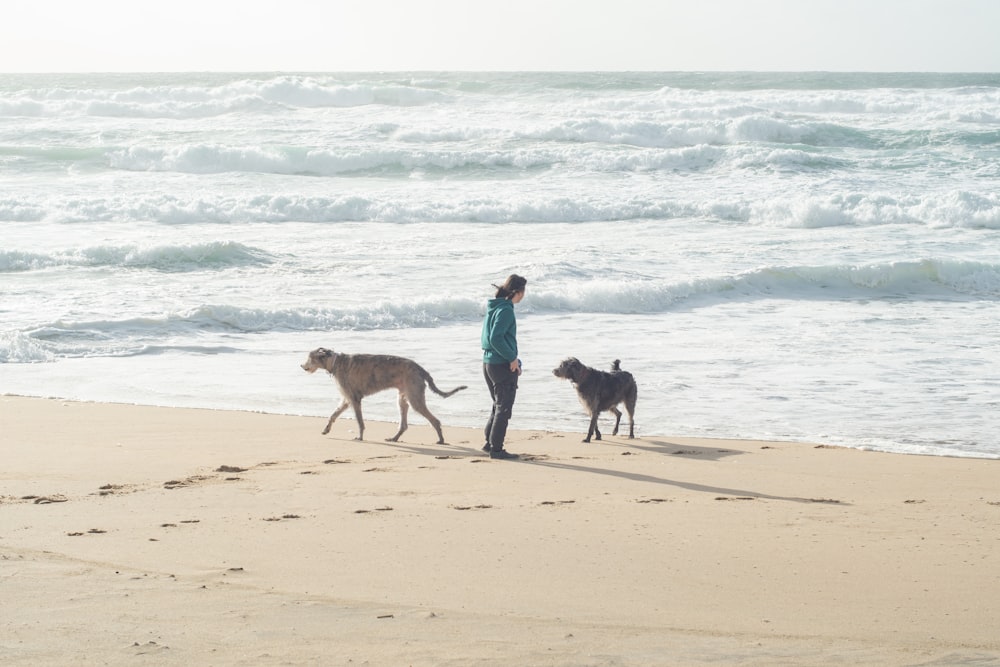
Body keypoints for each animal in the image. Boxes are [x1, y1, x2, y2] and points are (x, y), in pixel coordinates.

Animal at [300, 348, 468, 446]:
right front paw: (326, 429)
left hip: (415, 398)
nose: (301, 366)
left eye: (310, 358)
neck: (335, 362)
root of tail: (421, 369)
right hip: (403, 398)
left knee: (435, 420)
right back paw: (394, 438)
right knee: (404, 424)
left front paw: (360, 437)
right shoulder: (347, 400)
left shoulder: (354, 399)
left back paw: (441, 440)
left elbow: (360, 422)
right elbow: (333, 415)